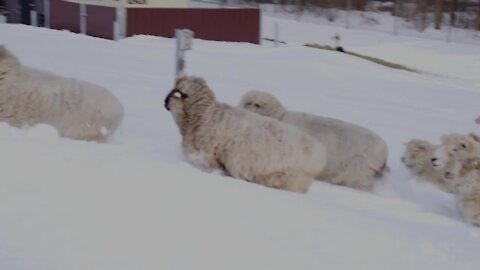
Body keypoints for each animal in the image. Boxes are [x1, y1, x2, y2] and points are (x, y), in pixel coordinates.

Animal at [164, 76, 326, 194]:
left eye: (177, 92)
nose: (164, 102)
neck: (205, 116)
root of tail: (319, 152)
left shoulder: (211, 158)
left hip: (290, 178)